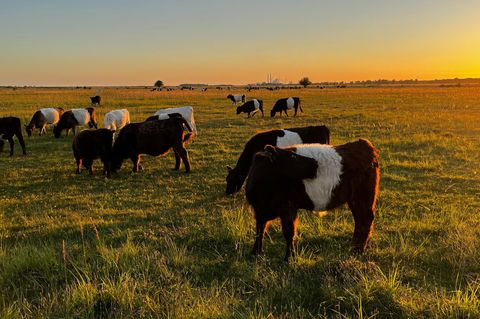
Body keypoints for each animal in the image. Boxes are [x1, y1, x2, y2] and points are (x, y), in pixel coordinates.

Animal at [248, 140, 378, 262]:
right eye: (293, 156)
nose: (315, 163)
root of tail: (364, 143)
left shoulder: (288, 206)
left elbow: (288, 232)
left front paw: (289, 258)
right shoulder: (259, 212)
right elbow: (259, 230)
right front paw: (255, 253)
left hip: (363, 197)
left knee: (365, 220)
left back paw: (357, 251)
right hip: (355, 200)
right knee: (360, 221)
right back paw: (355, 249)